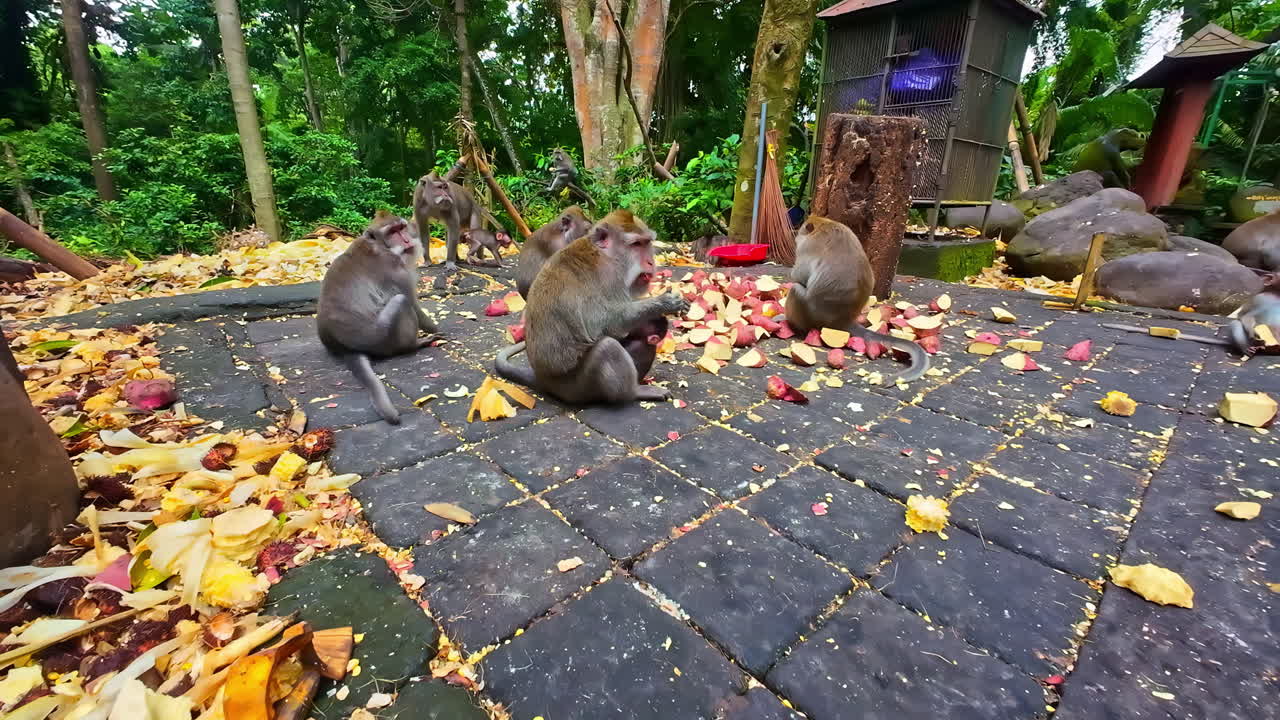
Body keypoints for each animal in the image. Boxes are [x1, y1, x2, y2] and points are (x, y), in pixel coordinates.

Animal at [316, 212, 437, 424]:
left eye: (401, 228)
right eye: (393, 232)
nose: (406, 240)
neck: (380, 246)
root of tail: (346, 347)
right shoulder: (395, 269)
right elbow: (412, 302)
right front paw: (435, 328)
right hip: (382, 336)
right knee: (400, 301)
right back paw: (413, 345)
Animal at [495, 210, 690, 404]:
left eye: (647, 242)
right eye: (636, 244)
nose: (650, 262)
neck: (607, 255)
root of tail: (543, 380)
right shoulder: (610, 276)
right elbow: (608, 325)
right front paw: (664, 303)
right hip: (578, 388)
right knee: (607, 347)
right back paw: (634, 392)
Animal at [785, 216, 930, 383]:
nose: (796, 237)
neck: (825, 224)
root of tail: (844, 320)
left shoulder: (807, 247)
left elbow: (798, 275)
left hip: (811, 315)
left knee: (795, 289)